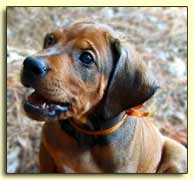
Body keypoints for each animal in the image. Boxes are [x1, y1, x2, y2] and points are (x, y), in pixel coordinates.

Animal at [20, 21, 186, 173]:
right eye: (50, 40)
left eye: (87, 58)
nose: (29, 64)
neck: (86, 135)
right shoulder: (47, 155)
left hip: (177, 152)